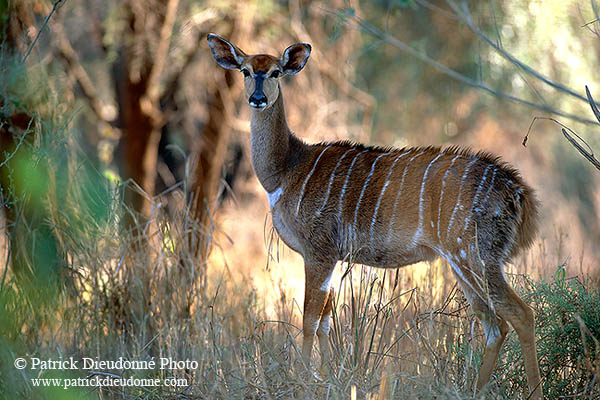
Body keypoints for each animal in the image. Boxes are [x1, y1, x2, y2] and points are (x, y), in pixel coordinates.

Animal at [206, 33, 544, 396]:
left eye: (275, 72)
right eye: (244, 70)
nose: (257, 98)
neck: (285, 171)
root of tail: (518, 192)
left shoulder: (318, 250)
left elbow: (309, 320)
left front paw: (304, 382)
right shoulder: (334, 255)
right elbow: (325, 322)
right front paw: (328, 379)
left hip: (476, 254)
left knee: (521, 314)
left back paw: (533, 391)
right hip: (463, 261)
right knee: (493, 322)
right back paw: (474, 391)